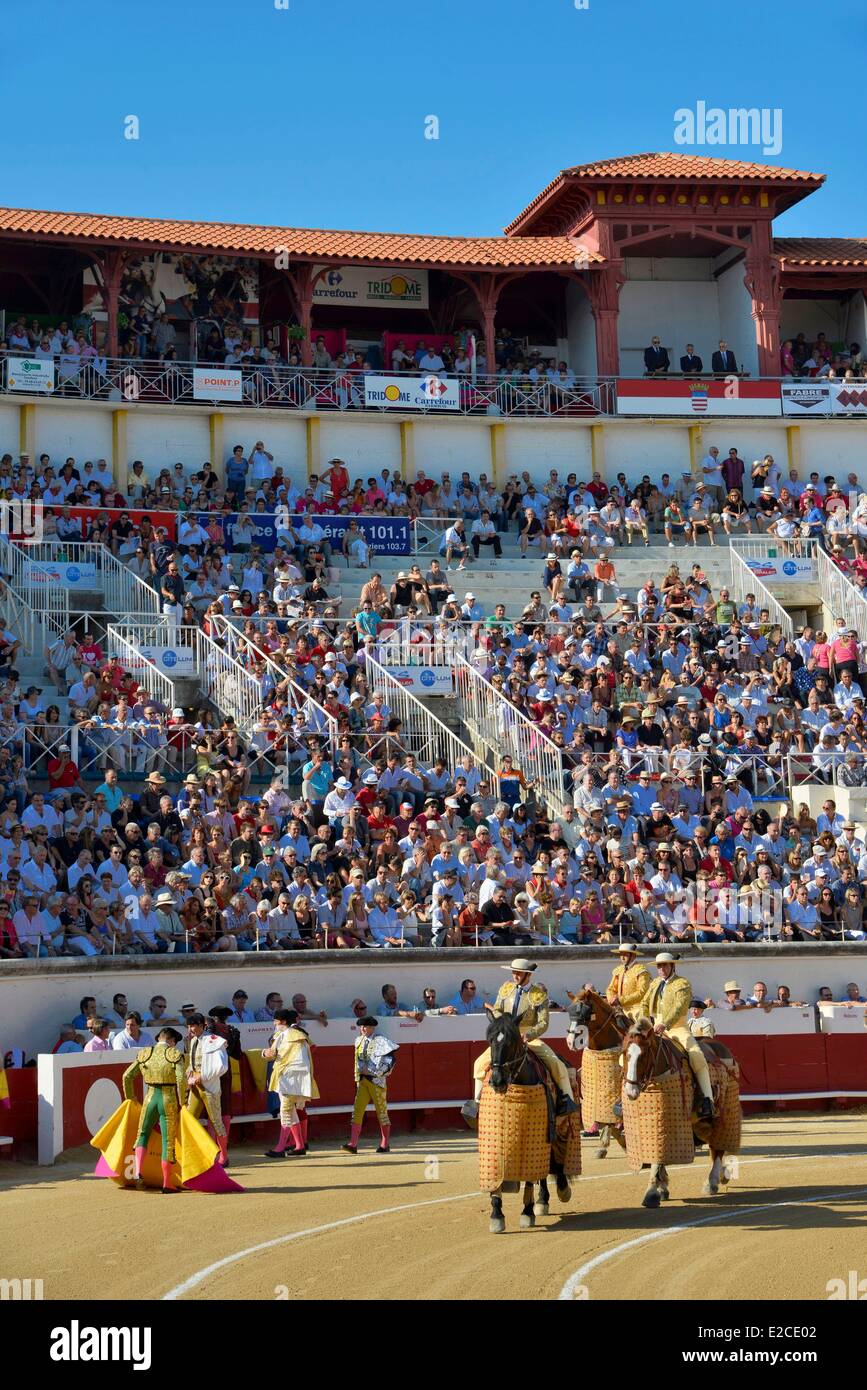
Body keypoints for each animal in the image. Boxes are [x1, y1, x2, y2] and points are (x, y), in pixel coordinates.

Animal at [477, 1011, 578, 1239]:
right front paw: (497, 1217)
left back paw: (558, 1192)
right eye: (490, 1040)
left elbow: (531, 1177)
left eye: (512, 1041)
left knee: (552, 1163)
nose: (497, 1081)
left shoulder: (535, 1135)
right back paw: (543, 1200)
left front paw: (527, 1212)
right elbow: (497, 1182)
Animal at [619, 1017, 739, 1212]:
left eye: (643, 1055)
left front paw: (652, 1193)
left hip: (720, 1113)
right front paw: (662, 1187)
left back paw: (712, 1181)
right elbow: (658, 1155)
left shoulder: (665, 1120)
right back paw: (722, 1175)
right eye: (624, 1054)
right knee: (714, 1145)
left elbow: (658, 1156)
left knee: (718, 1146)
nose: (630, 1091)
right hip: (699, 1122)